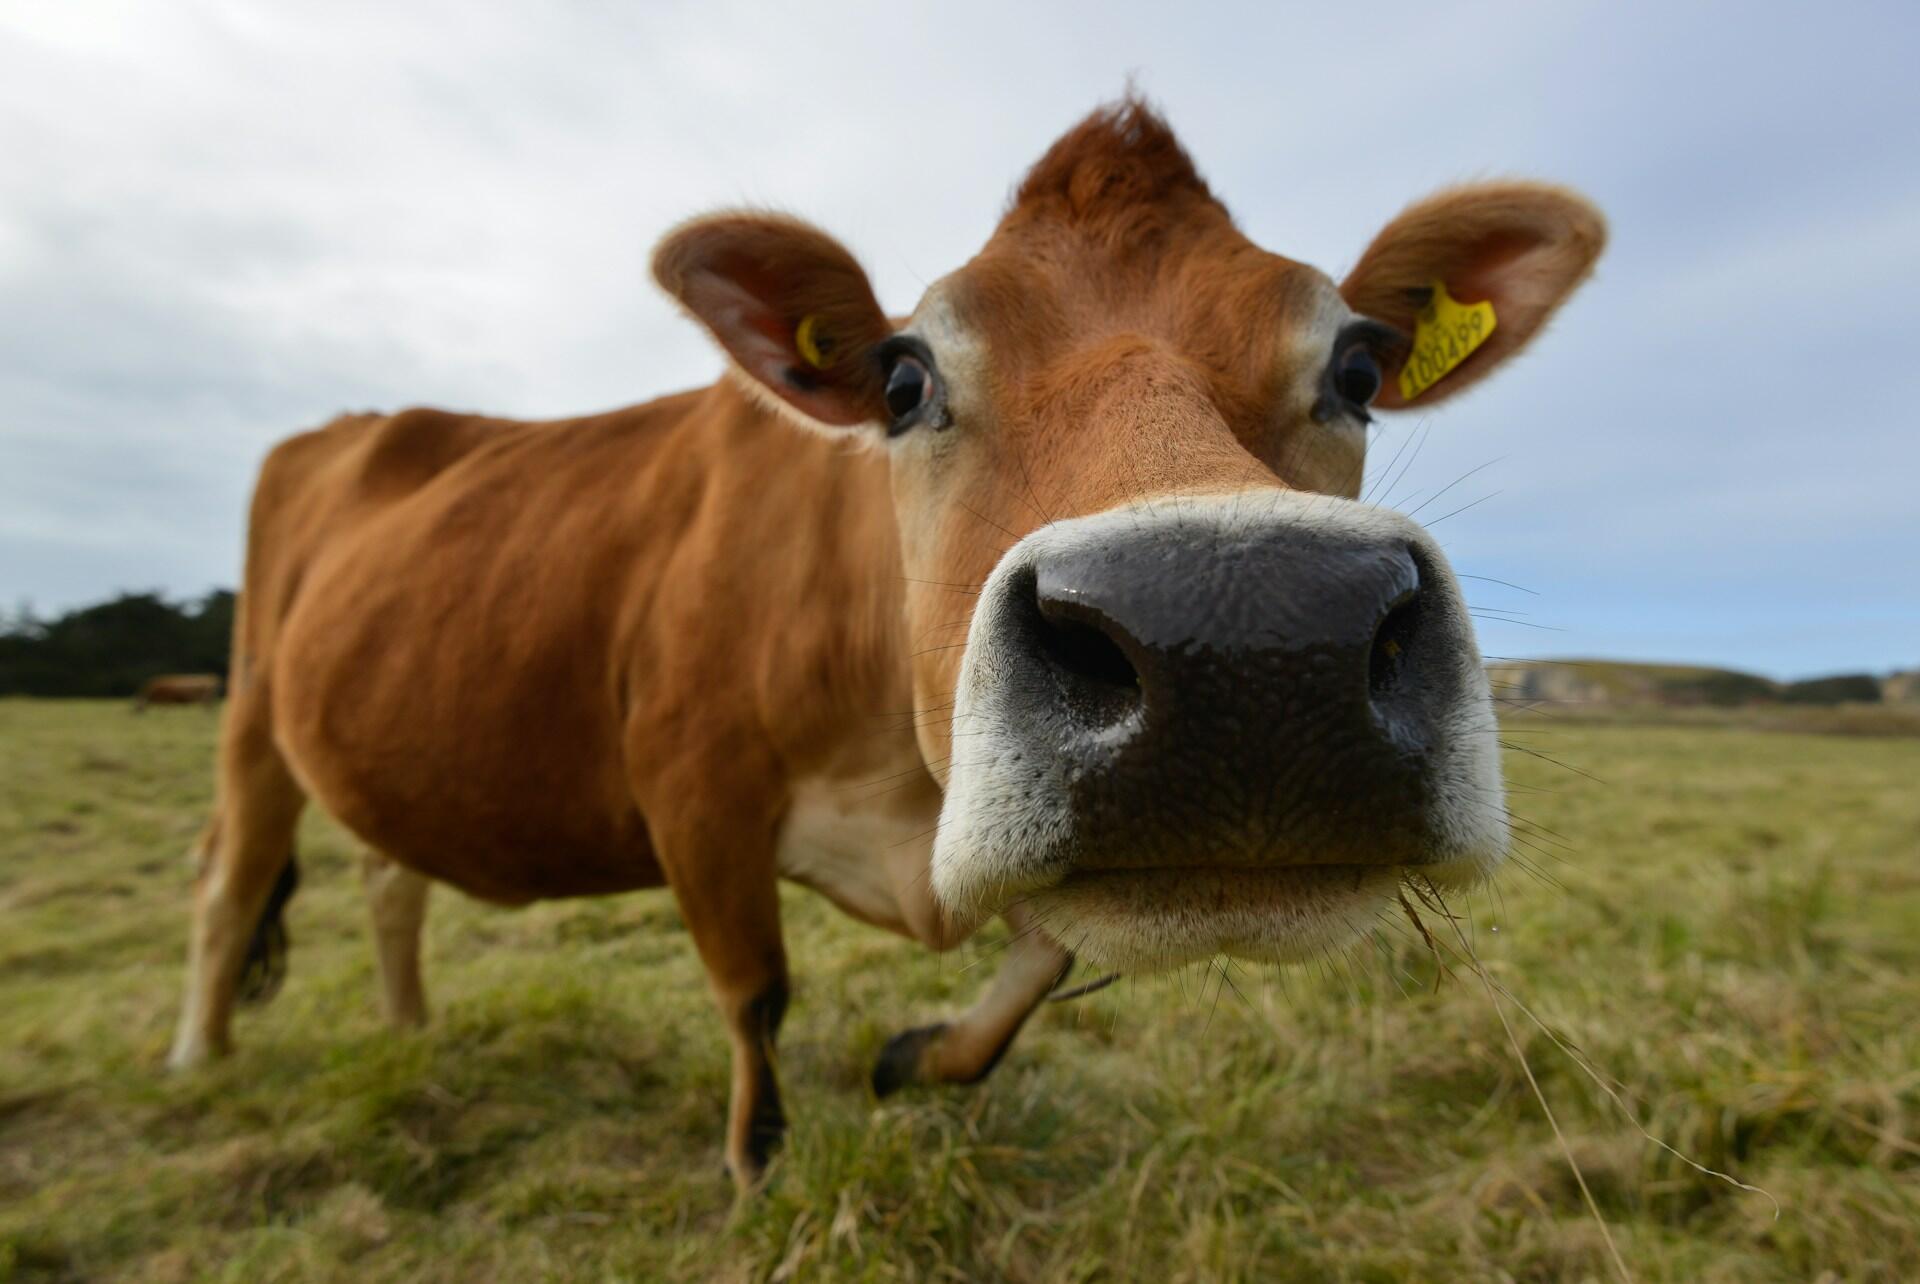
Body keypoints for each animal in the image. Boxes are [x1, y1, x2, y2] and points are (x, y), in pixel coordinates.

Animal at [169, 98, 1604, 1188]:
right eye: (905, 378)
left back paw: (410, 1035)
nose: (1248, 648)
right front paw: (758, 1167)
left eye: (1357, 369)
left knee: (389, 880)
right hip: (249, 716)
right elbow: (754, 993)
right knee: (230, 886)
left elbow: (1040, 959)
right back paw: (197, 1060)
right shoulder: (692, 788)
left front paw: (918, 1059)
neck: (903, 795)